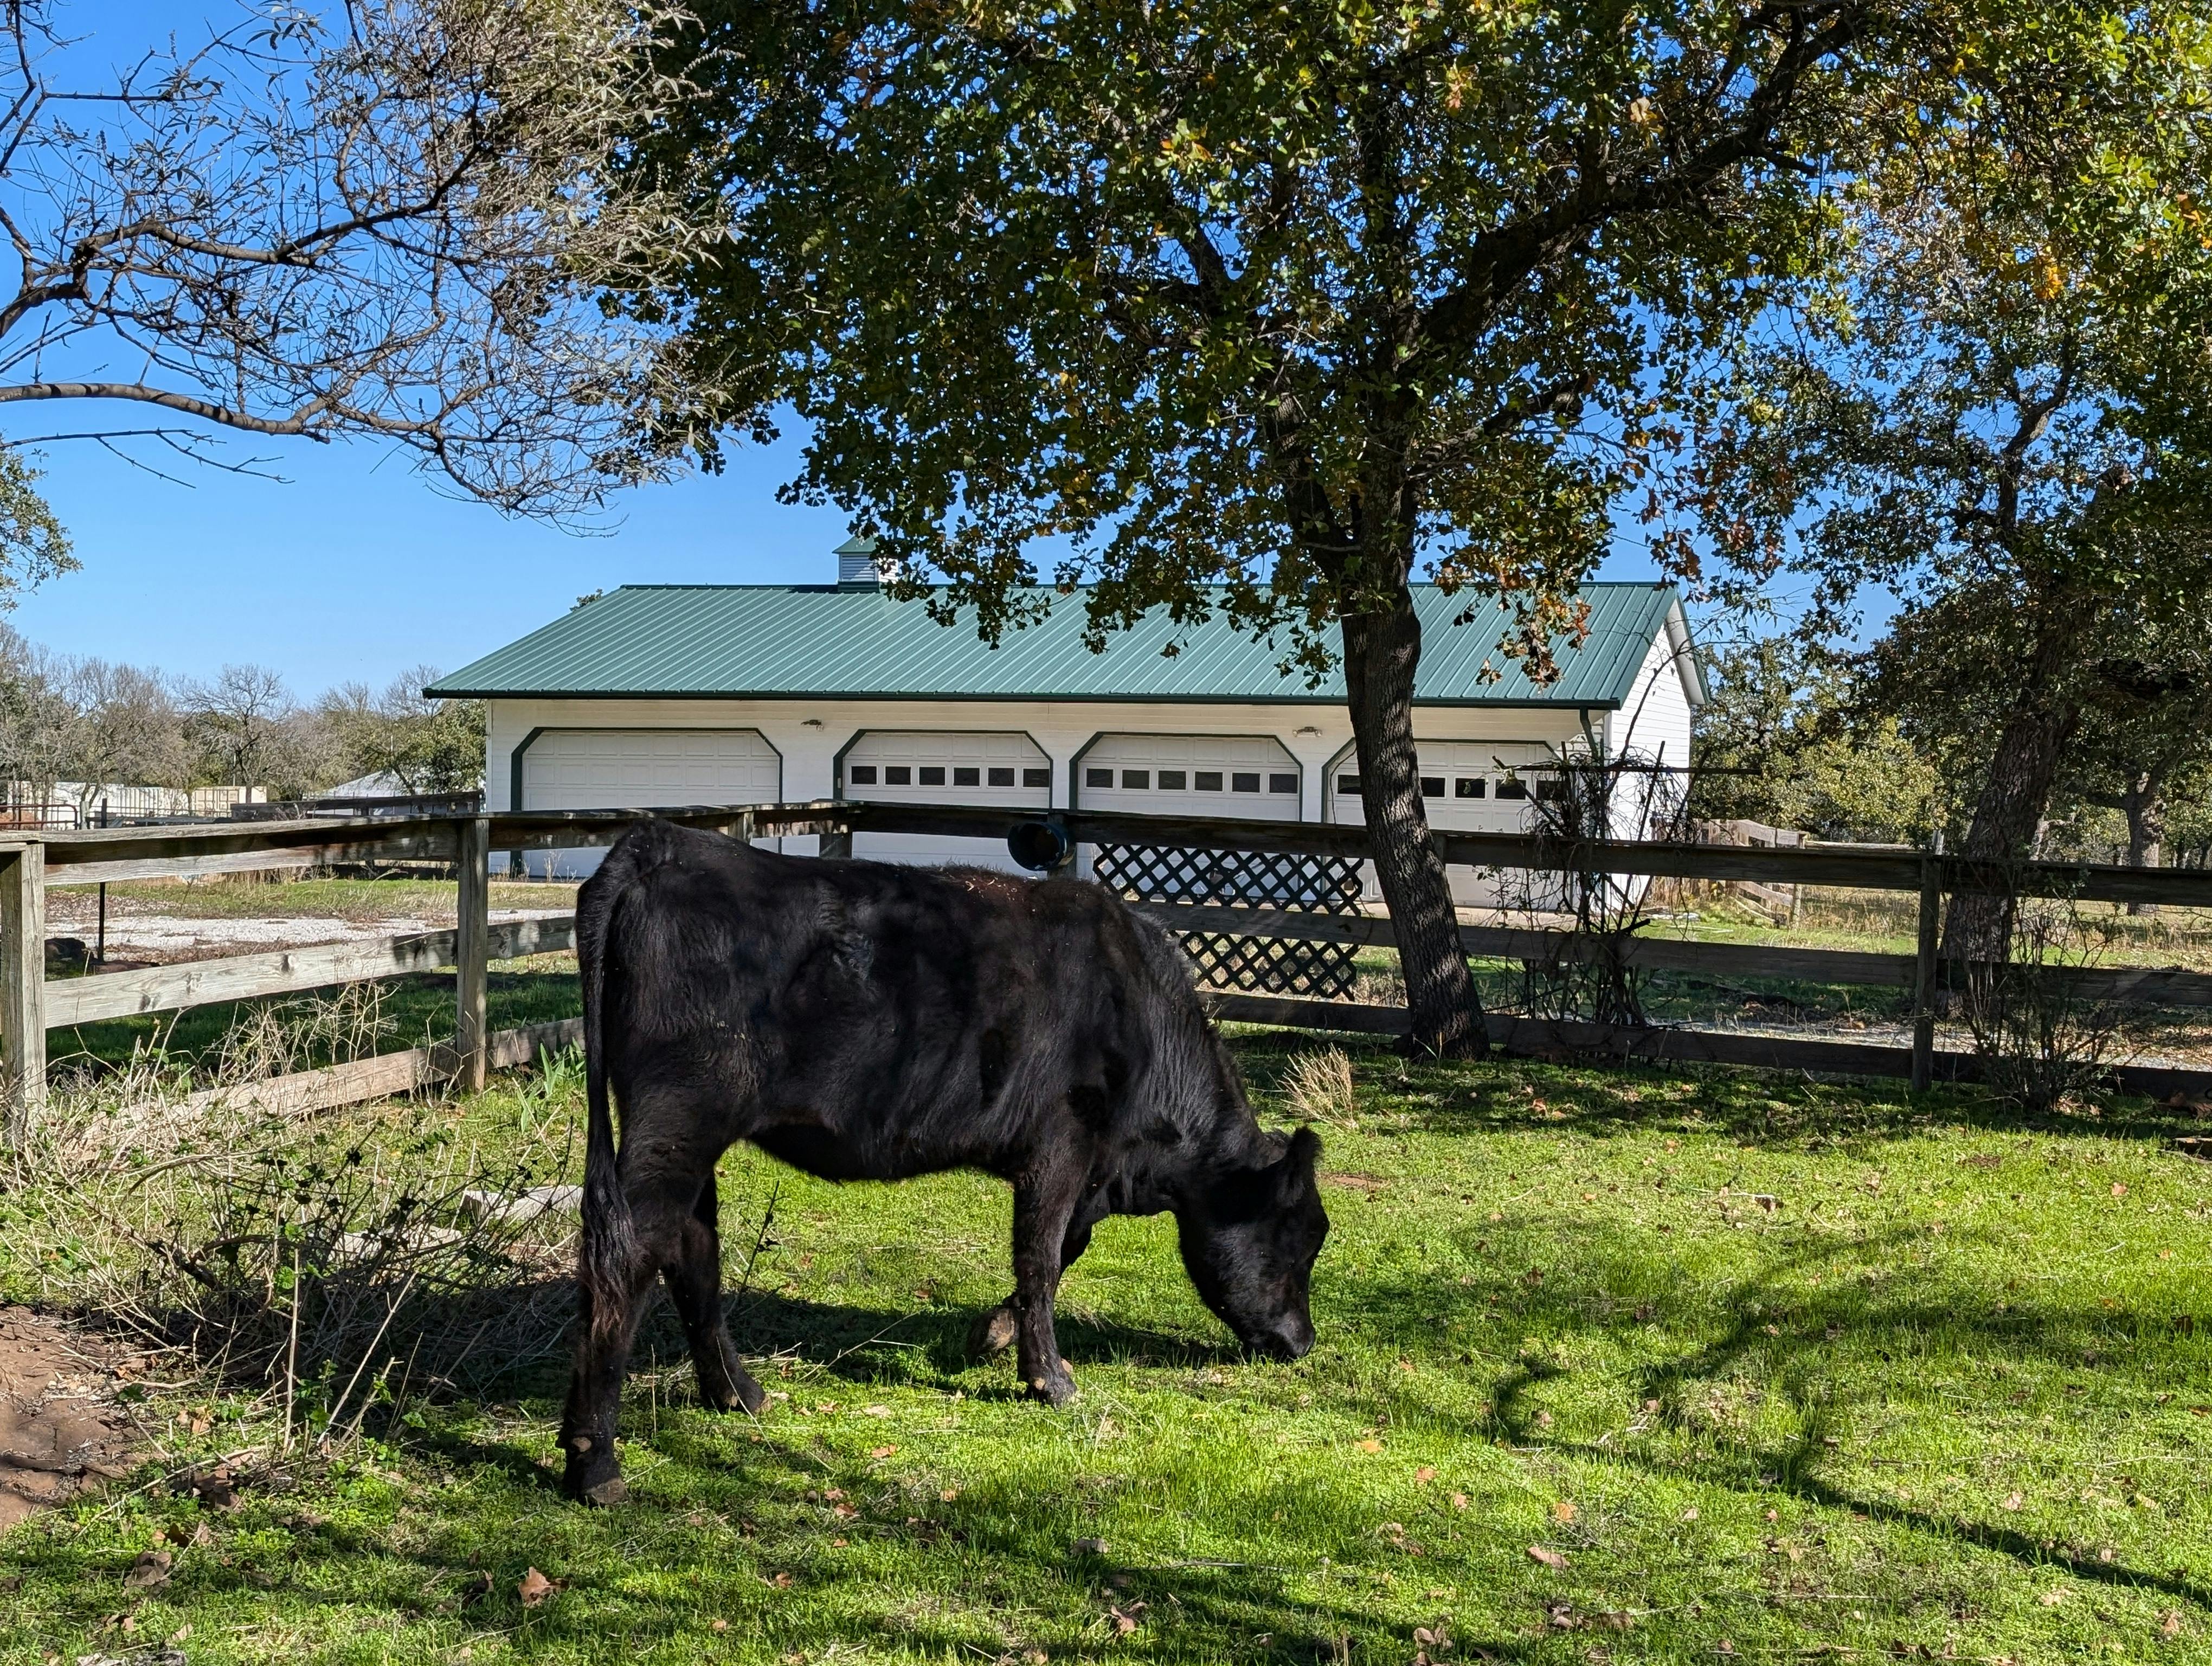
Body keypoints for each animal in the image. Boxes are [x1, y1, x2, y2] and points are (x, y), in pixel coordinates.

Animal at [557, 820, 1330, 1505]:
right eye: (1295, 1241)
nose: (1303, 1343)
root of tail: (658, 842)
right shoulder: (1061, 1145)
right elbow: (1042, 1257)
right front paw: (1050, 1381)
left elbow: (1063, 1249)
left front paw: (991, 1332)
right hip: (678, 1117)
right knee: (627, 1256)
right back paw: (596, 1464)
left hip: (687, 1133)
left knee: (692, 1252)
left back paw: (739, 1395)